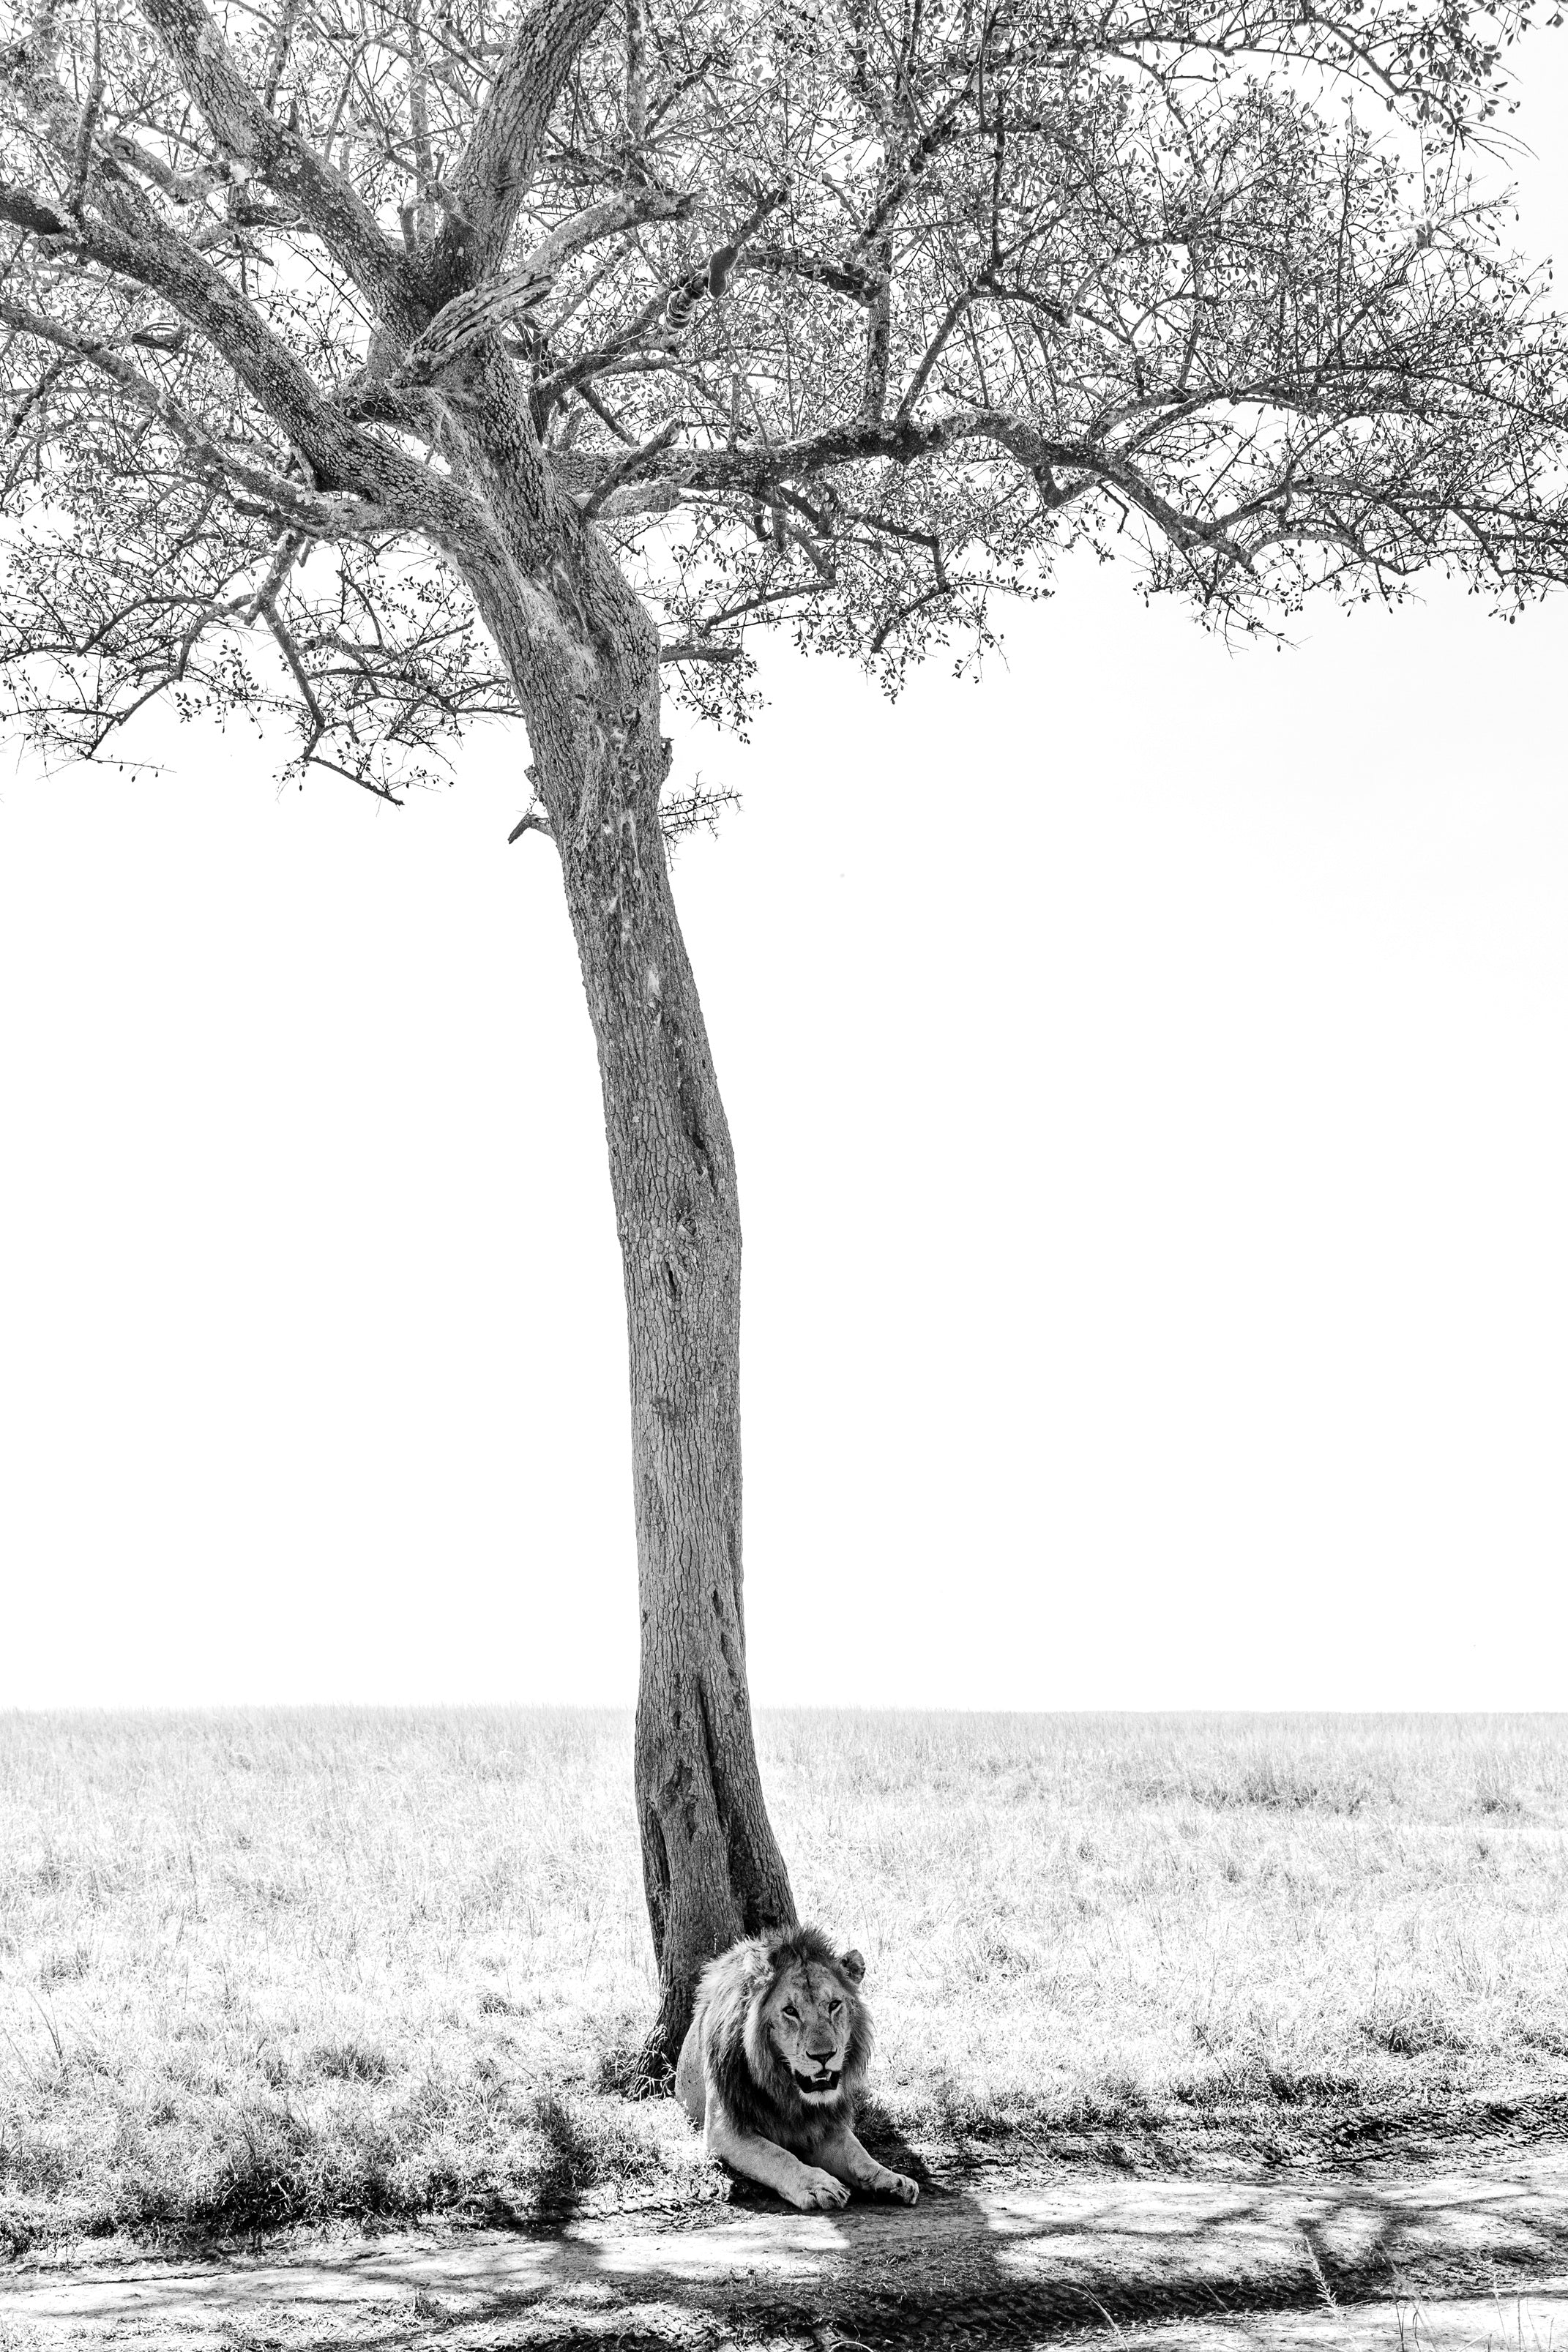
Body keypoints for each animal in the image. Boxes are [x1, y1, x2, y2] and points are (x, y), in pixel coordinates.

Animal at [675, 1923, 920, 2212]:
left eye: (834, 2004)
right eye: (790, 2011)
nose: (824, 2055)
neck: (787, 2091)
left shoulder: (824, 2124)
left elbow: (857, 2155)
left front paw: (892, 2180)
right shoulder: (725, 2130)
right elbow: (778, 2156)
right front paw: (820, 2185)